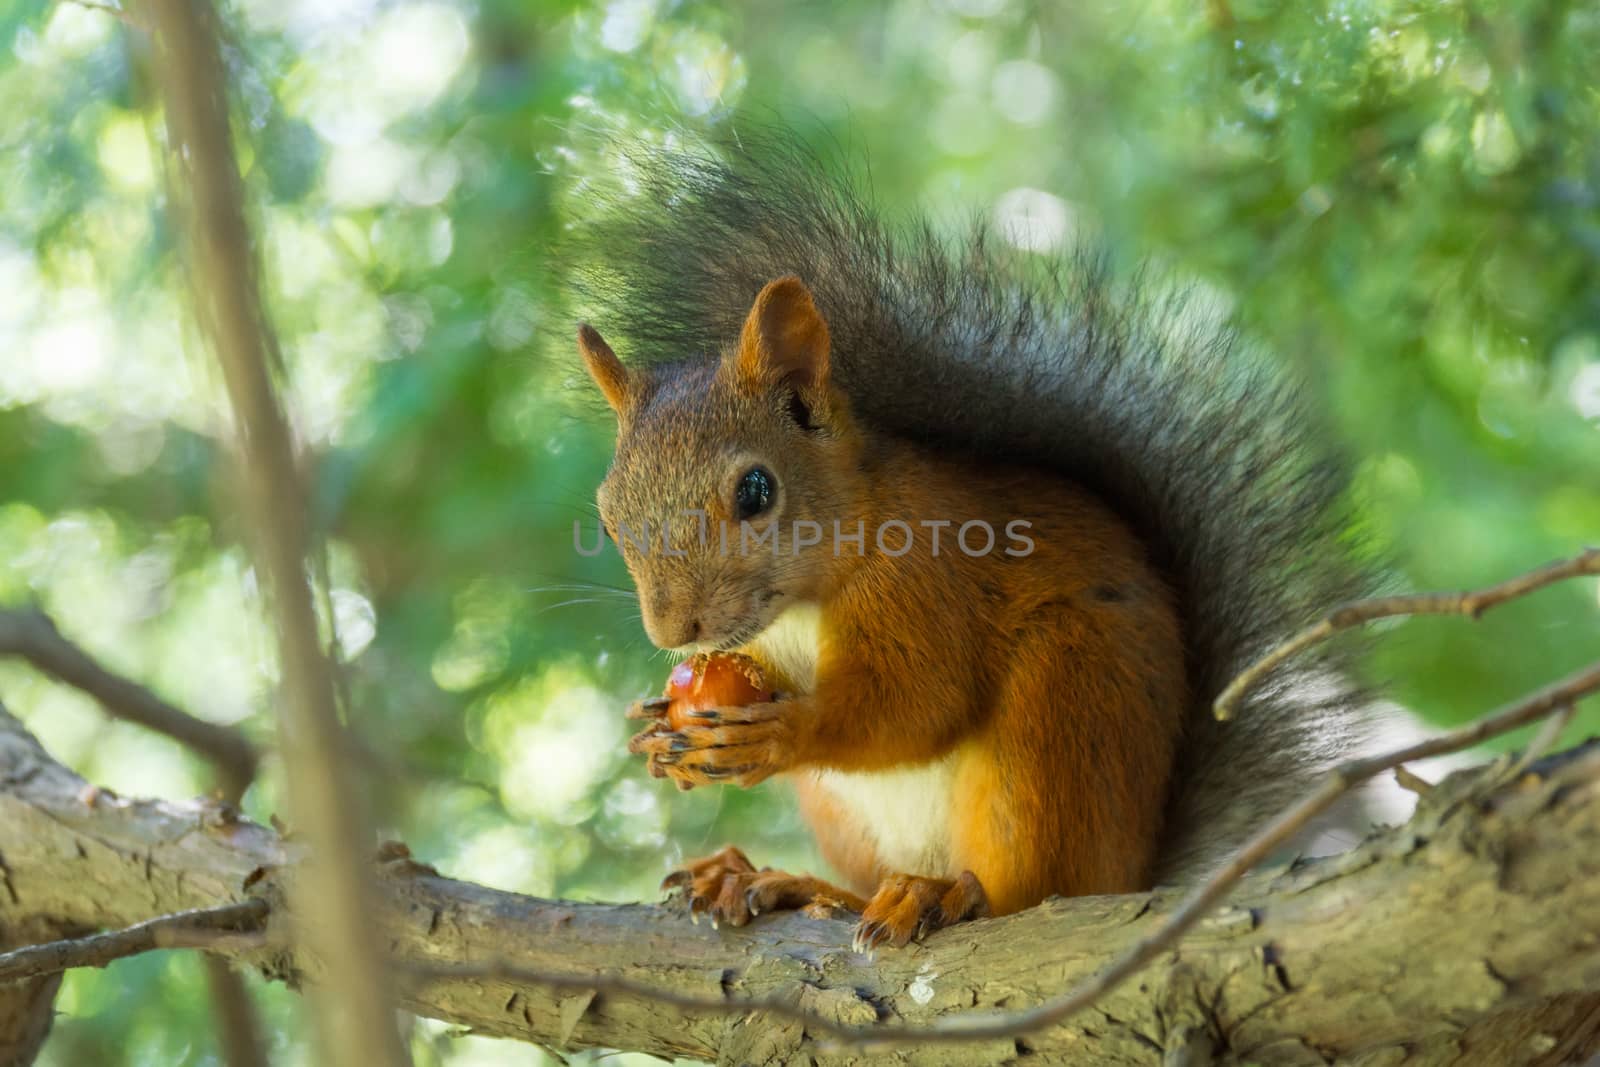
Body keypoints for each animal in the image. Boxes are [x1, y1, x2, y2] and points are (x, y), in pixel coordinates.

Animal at [566, 135, 1376, 953]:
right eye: (606, 517)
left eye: (757, 491)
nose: (674, 630)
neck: (804, 598)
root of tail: (1133, 870)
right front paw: (654, 730)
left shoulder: (930, 578)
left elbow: (921, 700)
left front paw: (784, 732)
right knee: (866, 885)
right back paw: (788, 882)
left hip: (1060, 708)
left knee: (1030, 888)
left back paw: (948, 895)